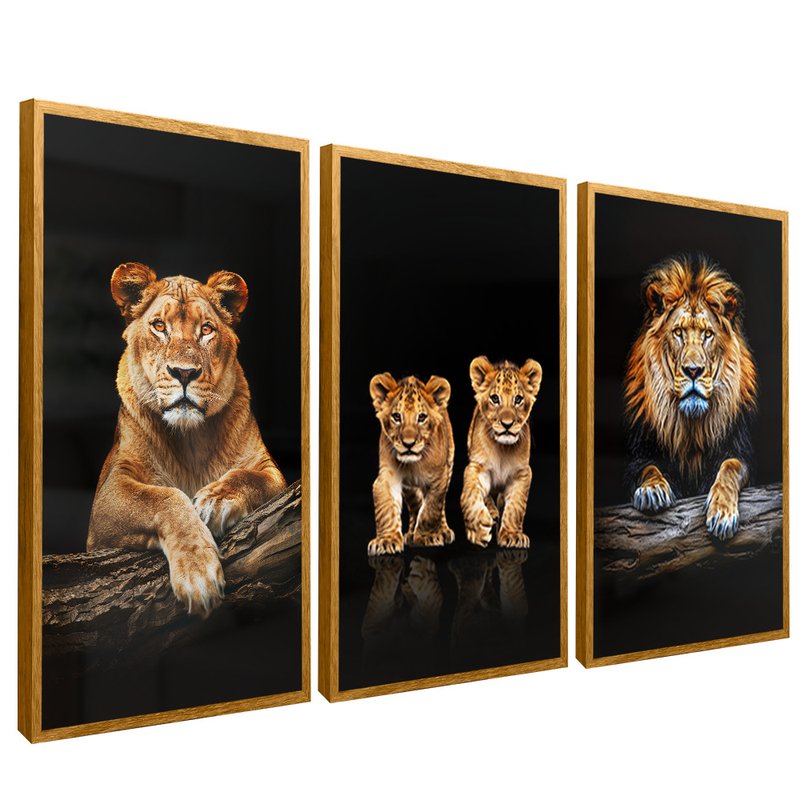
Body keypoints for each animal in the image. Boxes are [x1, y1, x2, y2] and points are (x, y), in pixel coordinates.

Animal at [87, 262, 286, 615]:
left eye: (206, 329)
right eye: (159, 326)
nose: (183, 372)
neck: (190, 439)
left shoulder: (267, 468)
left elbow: (249, 477)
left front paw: (217, 500)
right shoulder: (107, 497)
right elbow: (165, 498)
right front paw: (198, 575)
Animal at [367, 373, 455, 555]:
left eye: (421, 417)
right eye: (396, 417)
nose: (409, 444)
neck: (413, 464)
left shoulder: (439, 478)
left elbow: (431, 509)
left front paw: (428, 536)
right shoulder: (386, 477)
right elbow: (386, 509)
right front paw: (386, 541)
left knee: (440, 506)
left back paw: (443, 531)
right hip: (410, 490)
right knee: (415, 507)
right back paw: (411, 534)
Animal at [461, 356, 542, 549]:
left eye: (518, 399)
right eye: (495, 398)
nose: (507, 424)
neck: (502, 450)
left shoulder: (522, 473)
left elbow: (516, 507)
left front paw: (512, 535)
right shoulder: (477, 467)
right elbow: (469, 496)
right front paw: (478, 529)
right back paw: (491, 513)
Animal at [624, 253, 757, 540]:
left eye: (708, 334)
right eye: (678, 332)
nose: (693, 371)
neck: (690, 427)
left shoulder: (740, 450)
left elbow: (730, 467)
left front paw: (722, 514)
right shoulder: (637, 454)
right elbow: (647, 468)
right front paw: (652, 490)